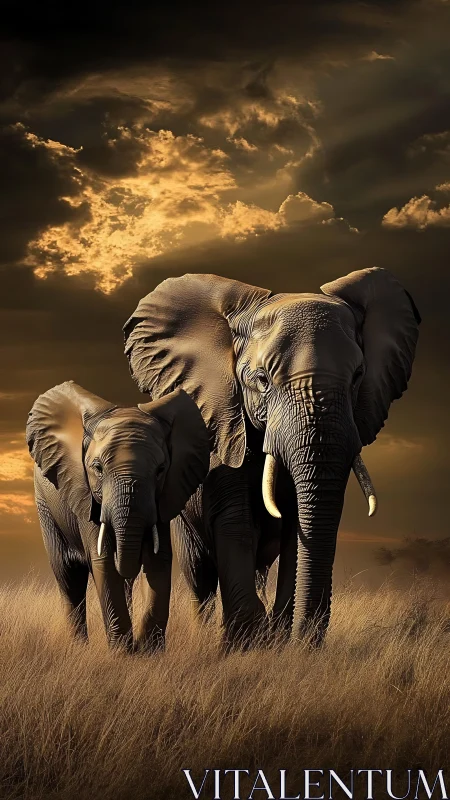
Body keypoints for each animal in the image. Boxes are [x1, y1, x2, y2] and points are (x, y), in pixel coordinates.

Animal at [26, 381, 210, 651]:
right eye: (97, 469)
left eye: (161, 470)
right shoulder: (86, 495)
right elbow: (104, 562)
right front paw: (124, 653)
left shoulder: (164, 496)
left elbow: (158, 559)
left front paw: (149, 651)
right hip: (46, 507)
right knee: (69, 577)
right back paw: (79, 648)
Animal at [123, 267, 421, 647]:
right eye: (262, 380)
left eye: (357, 377)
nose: (305, 642)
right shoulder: (222, 426)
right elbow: (235, 522)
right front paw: (248, 642)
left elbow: (299, 525)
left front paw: (280, 640)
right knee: (199, 572)